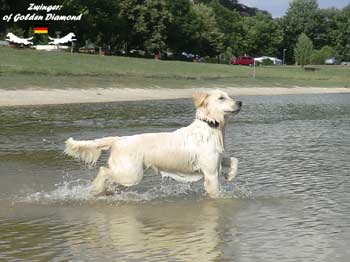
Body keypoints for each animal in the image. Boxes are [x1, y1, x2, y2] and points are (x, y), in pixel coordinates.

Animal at [64, 90, 242, 199]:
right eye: (221, 98)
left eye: (229, 95)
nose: (240, 102)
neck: (210, 126)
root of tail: (118, 140)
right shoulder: (210, 173)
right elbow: (217, 194)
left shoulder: (216, 161)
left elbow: (234, 160)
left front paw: (230, 175)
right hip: (131, 174)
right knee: (103, 171)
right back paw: (96, 189)